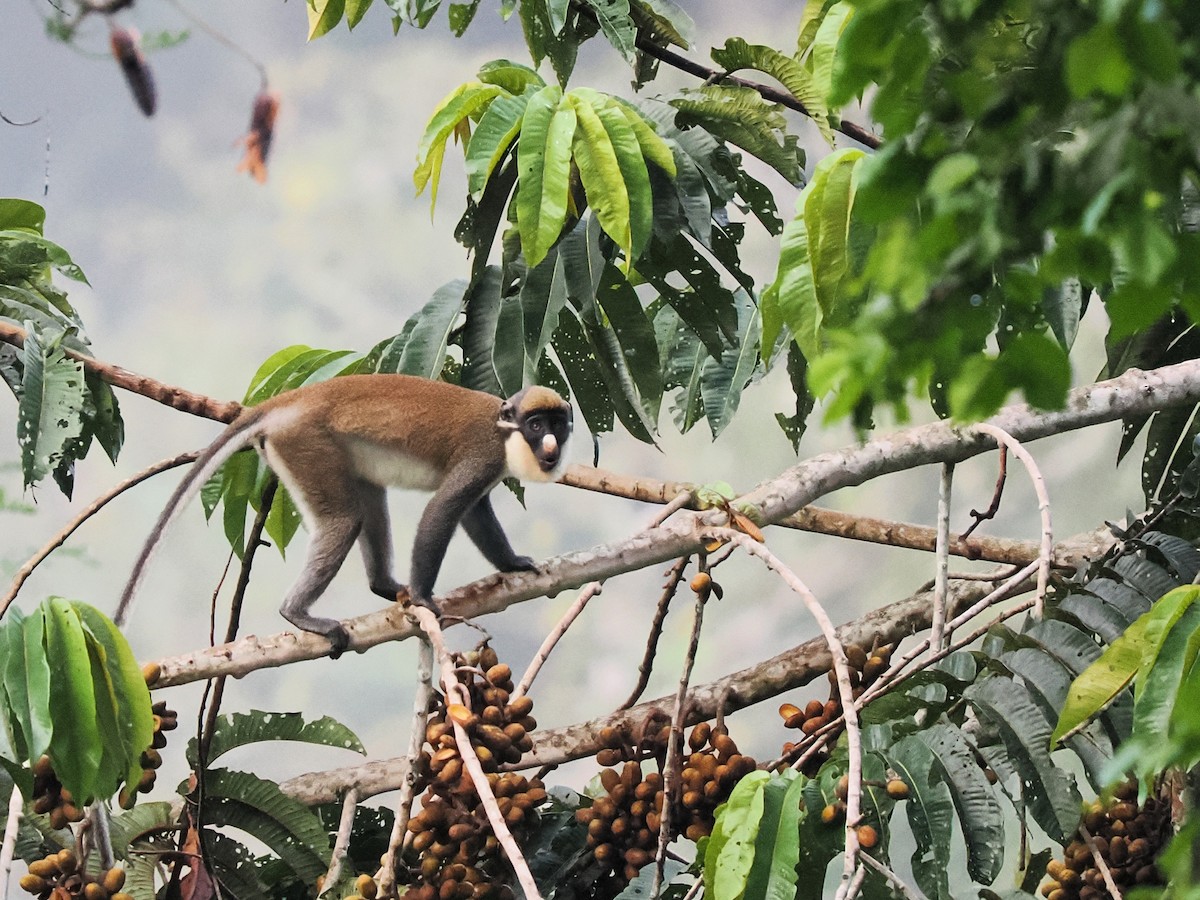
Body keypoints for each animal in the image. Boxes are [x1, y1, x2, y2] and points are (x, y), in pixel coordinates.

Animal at [116, 375, 573, 656]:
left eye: (558, 424)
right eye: (535, 425)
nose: (551, 444)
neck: (503, 431)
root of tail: (296, 399)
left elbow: (475, 513)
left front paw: (512, 563)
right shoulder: (482, 456)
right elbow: (442, 511)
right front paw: (424, 598)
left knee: (369, 498)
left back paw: (383, 585)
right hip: (306, 446)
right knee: (344, 519)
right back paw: (297, 613)